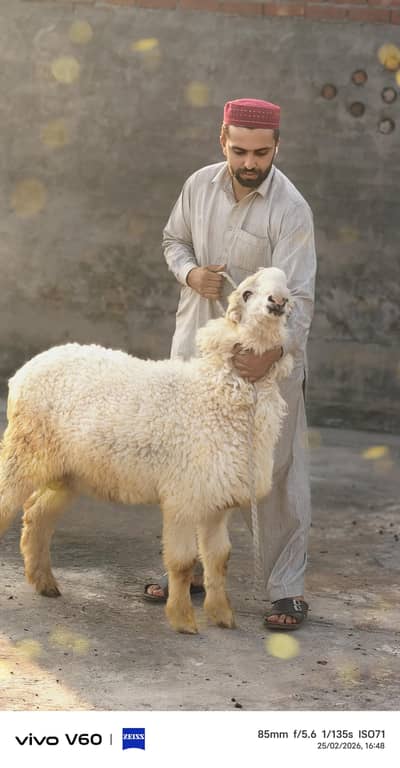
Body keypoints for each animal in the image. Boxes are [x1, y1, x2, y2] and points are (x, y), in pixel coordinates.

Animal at [0, 266, 293, 634]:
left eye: (288, 290)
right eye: (247, 293)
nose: (278, 301)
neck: (217, 392)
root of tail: (26, 369)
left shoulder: (216, 497)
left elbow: (219, 559)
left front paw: (222, 616)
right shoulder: (184, 496)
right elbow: (183, 562)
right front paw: (183, 621)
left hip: (69, 469)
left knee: (38, 515)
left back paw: (46, 584)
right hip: (23, 450)